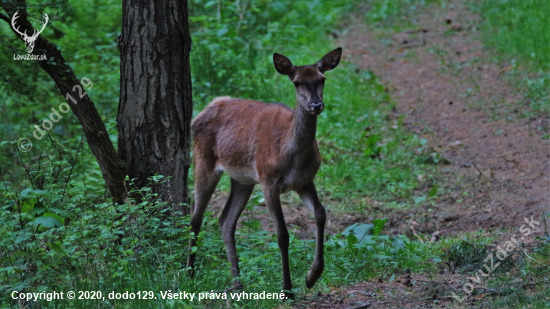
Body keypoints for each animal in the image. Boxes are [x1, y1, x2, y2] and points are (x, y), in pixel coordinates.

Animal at [188, 47, 342, 298]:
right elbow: (282, 234)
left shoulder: (304, 181)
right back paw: (189, 274)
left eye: (322, 79)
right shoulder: (269, 180)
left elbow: (321, 213)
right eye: (297, 82)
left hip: (243, 180)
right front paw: (287, 289)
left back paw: (237, 283)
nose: (316, 105)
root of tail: (201, 112)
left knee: (225, 221)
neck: (291, 155)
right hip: (203, 161)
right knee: (195, 218)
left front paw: (312, 276)